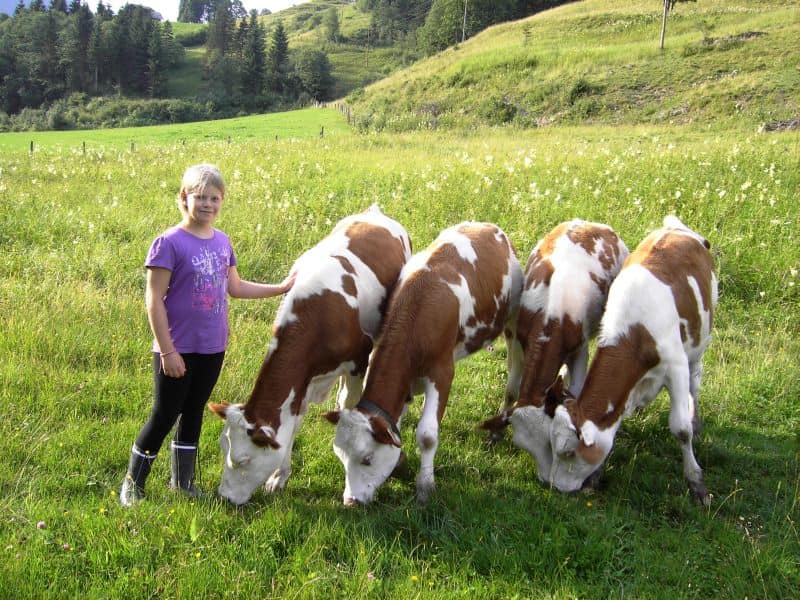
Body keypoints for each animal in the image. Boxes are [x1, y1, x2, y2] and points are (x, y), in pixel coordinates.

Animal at [208, 206, 411, 505]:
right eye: (224, 450)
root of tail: (375, 212)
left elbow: (351, 405)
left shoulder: (357, 361)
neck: (317, 315)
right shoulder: (301, 380)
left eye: (243, 460)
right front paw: (279, 477)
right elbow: (293, 423)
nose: (224, 498)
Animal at [324, 222, 523, 505]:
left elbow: (428, 435)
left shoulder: (442, 373)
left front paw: (425, 485)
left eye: (367, 459)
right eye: (340, 458)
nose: (350, 501)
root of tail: (485, 226)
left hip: (513, 320)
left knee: (513, 374)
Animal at [480, 220, 629, 483]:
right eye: (524, 446)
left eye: (550, 443)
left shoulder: (580, 350)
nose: (544, 480)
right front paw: (495, 434)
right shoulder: (517, 341)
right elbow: (511, 389)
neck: (551, 316)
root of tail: (592, 224)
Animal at [548, 216, 717, 505]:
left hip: (699, 345)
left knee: (695, 383)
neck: (635, 331)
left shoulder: (676, 368)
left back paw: (696, 420)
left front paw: (697, 483)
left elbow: (681, 429)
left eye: (569, 452)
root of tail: (676, 227)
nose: (555, 487)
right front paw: (595, 477)